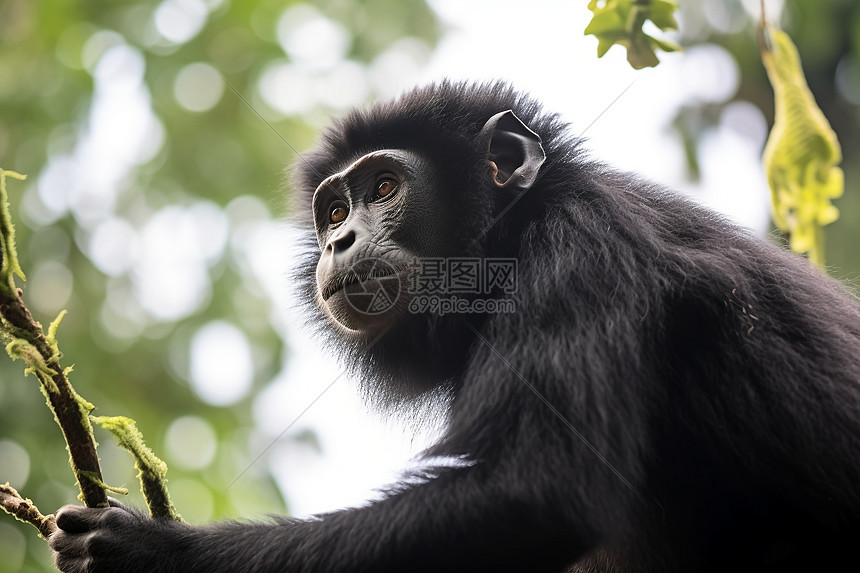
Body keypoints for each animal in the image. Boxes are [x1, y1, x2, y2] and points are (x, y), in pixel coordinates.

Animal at [48, 81, 860, 572]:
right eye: (334, 211)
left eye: (383, 187)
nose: (340, 242)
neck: (511, 232)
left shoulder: (579, 248)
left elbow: (534, 491)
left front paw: (157, 552)